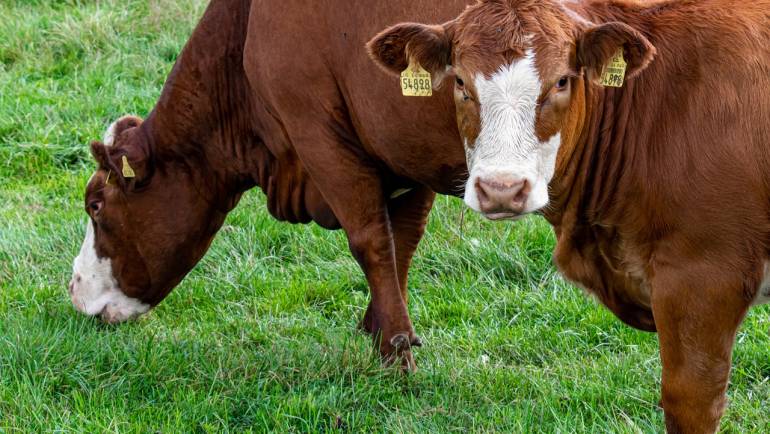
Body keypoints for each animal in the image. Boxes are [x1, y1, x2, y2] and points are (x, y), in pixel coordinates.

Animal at [67, 0, 474, 372]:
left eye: (95, 205)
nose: (74, 288)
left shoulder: (319, 136)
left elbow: (372, 241)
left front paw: (395, 355)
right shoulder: (407, 153)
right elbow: (402, 242)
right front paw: (381, 330)